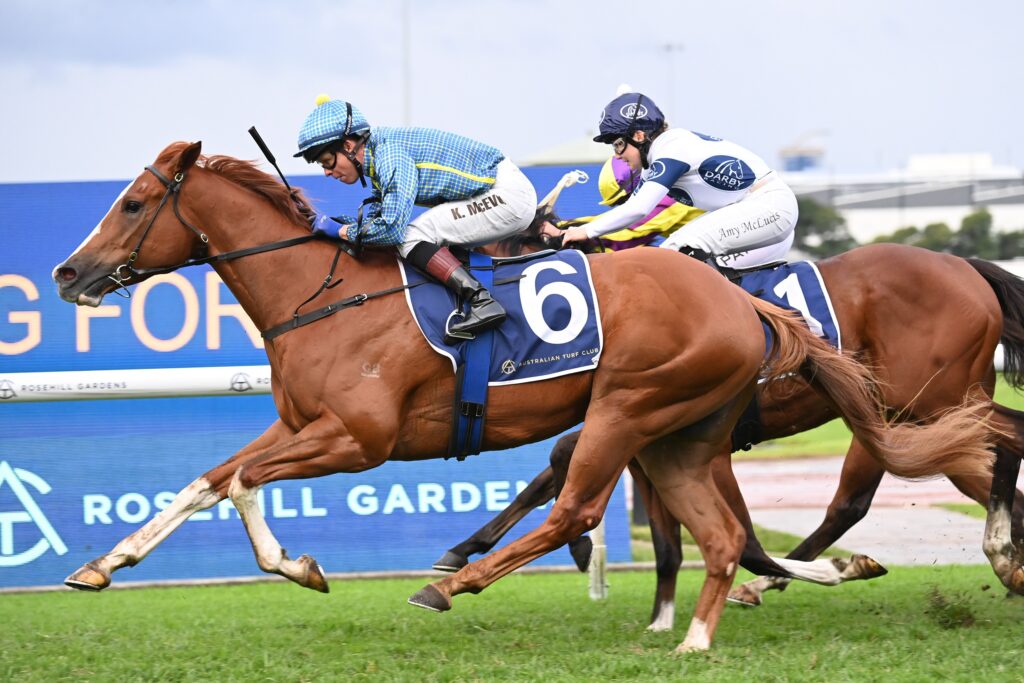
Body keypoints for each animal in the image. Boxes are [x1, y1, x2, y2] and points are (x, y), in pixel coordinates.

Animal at [437, 236, 1024, 629]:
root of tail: (965, 266)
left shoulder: (649, 424)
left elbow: (559, 463)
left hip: (931, 403)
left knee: (987, 450)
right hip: (923, 416)